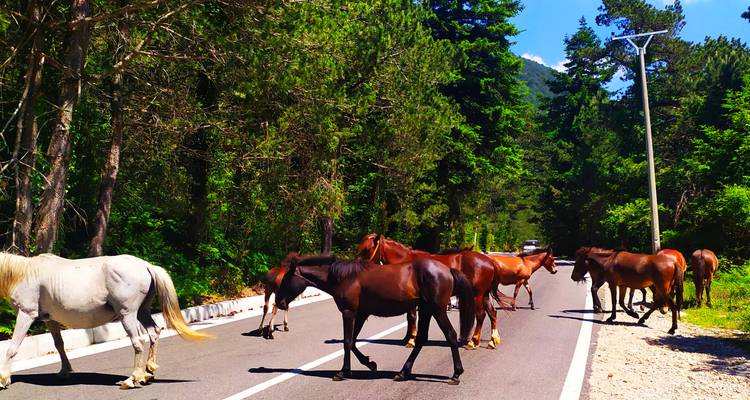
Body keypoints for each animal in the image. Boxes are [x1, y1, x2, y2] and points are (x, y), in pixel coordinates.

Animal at [0, 252, 211, 390]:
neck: (23, 274)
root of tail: (146, 265)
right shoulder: (50, 320)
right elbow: (59, 345)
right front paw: (64, 371)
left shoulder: (26, 314)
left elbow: (12, 348)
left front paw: (4, 379)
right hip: (142, 312)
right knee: (154, 332)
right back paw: (148, 373)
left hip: (128, 315)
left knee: (138, 342)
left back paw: (131, 379)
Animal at [274, 253, 475, 385]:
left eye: (286, 280)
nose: (279, 302)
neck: (344, 277)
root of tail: (448, 270)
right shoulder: (361, 314)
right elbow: (353, 341)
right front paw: (370, 363)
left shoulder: (348, 312)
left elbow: (347, 342)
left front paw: (343, 372)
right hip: (426, 310)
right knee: (420, 340)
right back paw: (403, 373)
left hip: (437, 310)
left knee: (450, 335)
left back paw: (456, 375)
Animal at [357, 233, 500, 350]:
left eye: (366, 249)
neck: (405, 261)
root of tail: (490, 262)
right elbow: (410, 318)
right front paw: (407, 338)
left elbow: (412, 317)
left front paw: (411, 340)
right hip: (484, 295)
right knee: (492, 313)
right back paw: (492, 341)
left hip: (478, 295)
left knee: (480, 314)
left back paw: (473, 342)